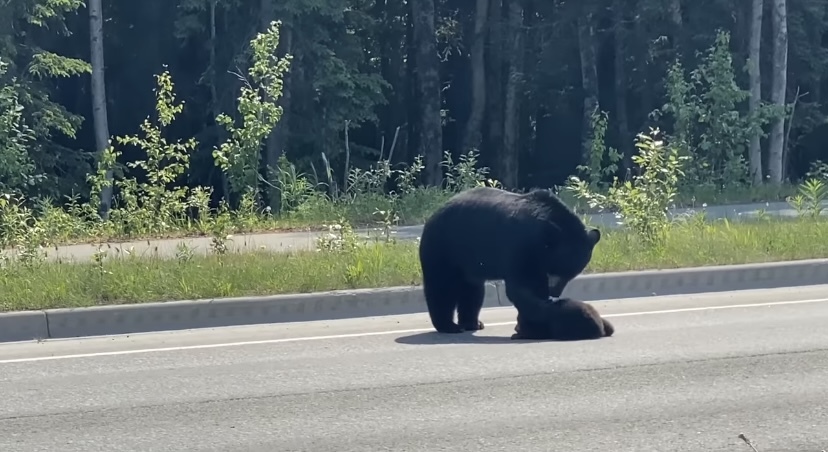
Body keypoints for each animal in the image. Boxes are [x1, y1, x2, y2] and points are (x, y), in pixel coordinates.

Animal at [418, 185, 600, 334]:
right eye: (556, 272)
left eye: (571, 274)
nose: (555, 292)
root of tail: (431, 217)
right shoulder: (519, 247)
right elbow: (520, 286)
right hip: (444, 248)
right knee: (441, 287)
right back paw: (448, 326)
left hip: (468, 263)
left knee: (472, 290)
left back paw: (472, 323)